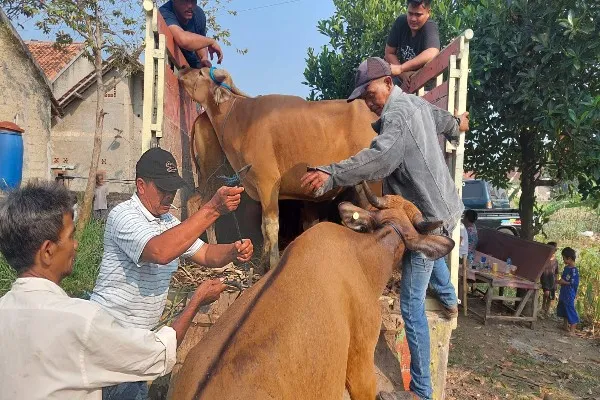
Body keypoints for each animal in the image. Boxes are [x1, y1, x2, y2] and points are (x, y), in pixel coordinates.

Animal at [178, 67, 378, 270]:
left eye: (201, 73)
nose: (183, 70)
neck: (240, 118)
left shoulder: (267, 182)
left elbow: (270, 226)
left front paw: (272, 264)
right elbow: (265, 229)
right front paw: (264, 263)